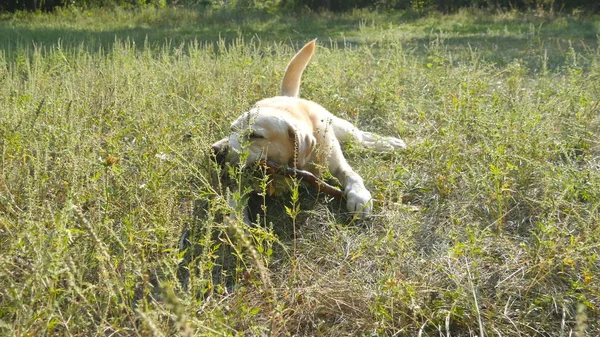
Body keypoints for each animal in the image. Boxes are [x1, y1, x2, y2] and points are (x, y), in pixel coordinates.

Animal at [212, 39, 408, 217]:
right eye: (231, 130)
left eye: (255, 135)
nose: (215, 150)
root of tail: (288, 97)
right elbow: (235, 197)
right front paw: (237, 223)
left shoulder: (337, 163)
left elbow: (352, 174)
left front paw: (359, 196)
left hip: (344, 129)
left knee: (361, 137)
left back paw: (390, 143)